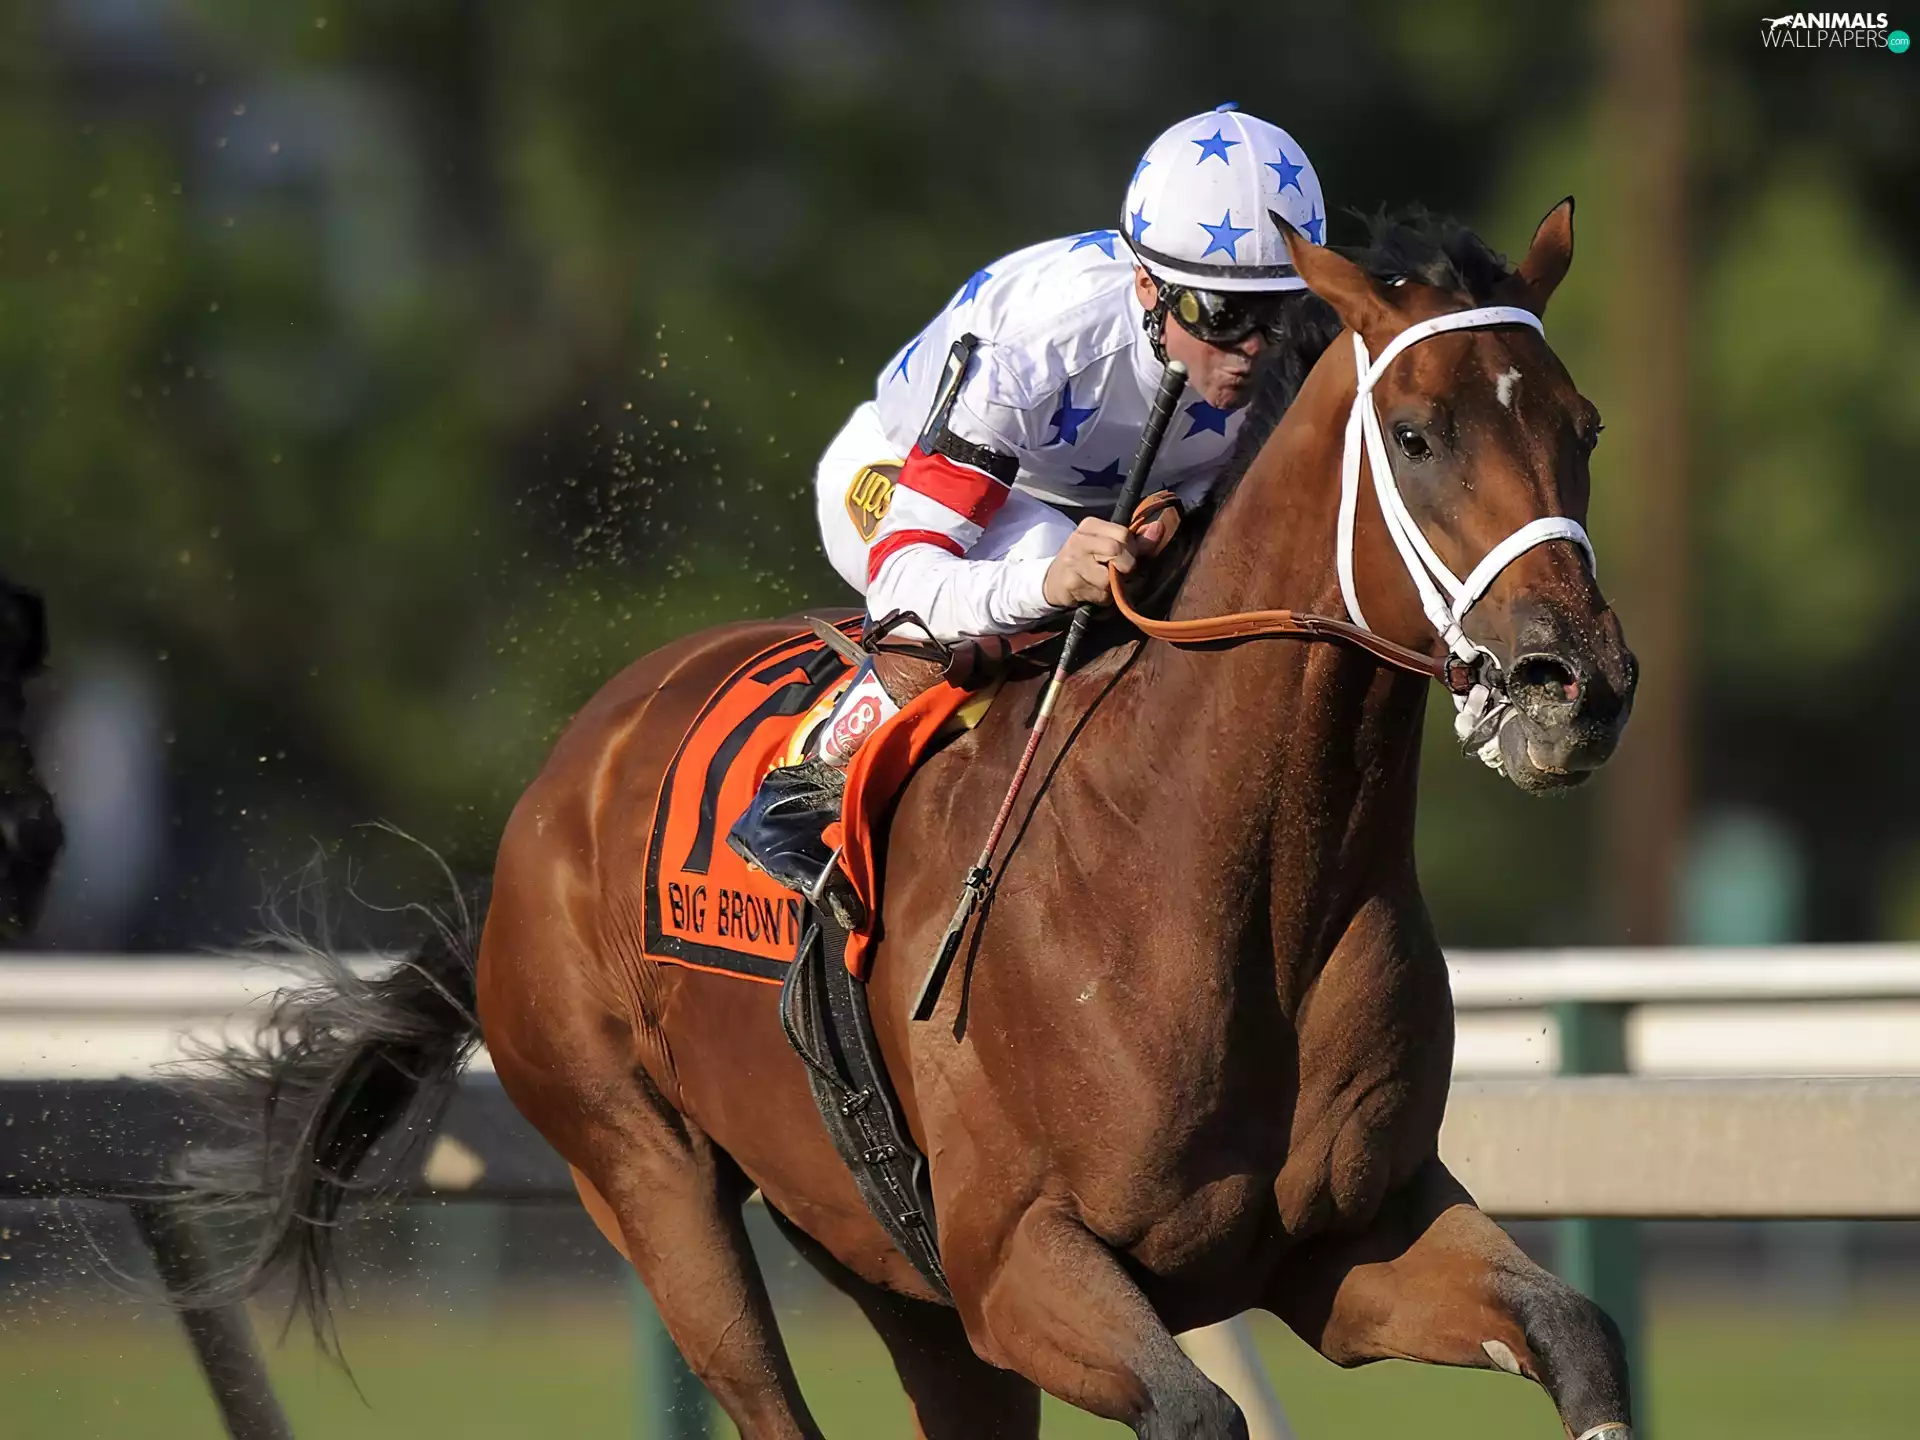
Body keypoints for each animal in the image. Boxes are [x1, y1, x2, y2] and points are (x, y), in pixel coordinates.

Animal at [189, 202, 1638, 1439]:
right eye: (1417, 433)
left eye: (1585, 424)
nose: (1575, 683)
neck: (1215, 872)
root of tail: (548, 799)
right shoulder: (1016, 1260)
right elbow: (1196, 1411)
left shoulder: (1347, 1240)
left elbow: (1575, 1329)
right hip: (647, 1177)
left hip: (881, 1255)